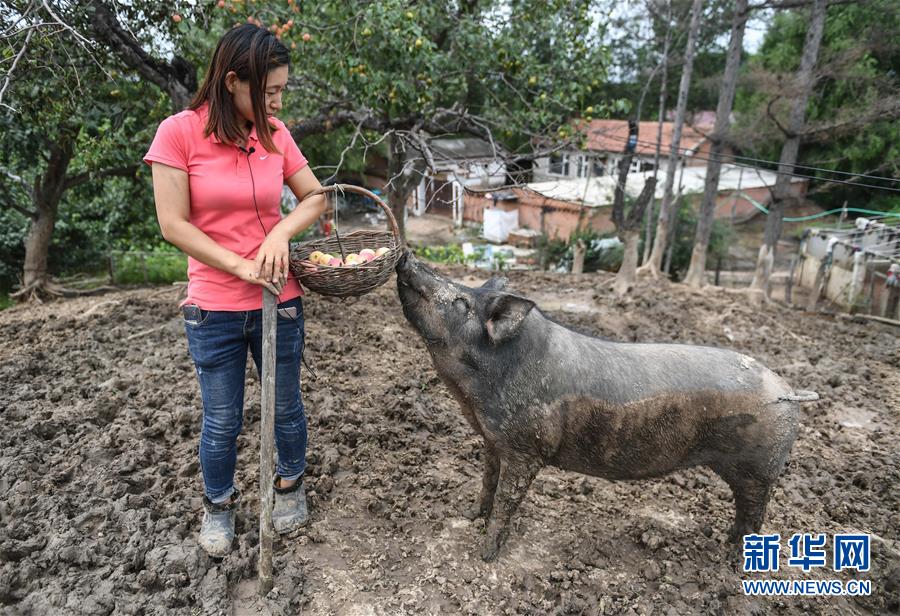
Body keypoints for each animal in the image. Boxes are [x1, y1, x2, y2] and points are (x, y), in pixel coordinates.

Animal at [395, 252, 818, 562]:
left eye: (462, 302)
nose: (407, 256)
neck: (474, 396)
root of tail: (790, 390)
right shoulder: (493, 440)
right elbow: (486, 482)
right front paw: (468, 516)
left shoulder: (526, 449)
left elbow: (506, 499)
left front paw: (484, 556)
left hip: (759, 470)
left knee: (754, 511)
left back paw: (732, 558)